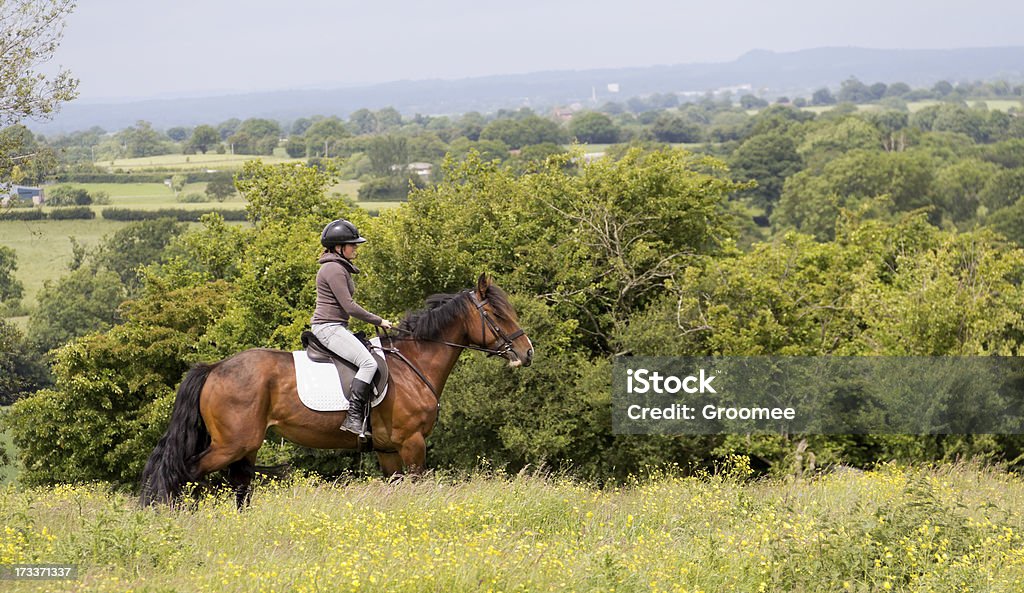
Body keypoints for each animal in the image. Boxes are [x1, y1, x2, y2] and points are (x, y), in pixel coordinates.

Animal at [141, 276, 536, 507]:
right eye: (498, 316)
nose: (527, 352)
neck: (414, 362)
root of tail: (214, 368)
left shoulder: (389, 450)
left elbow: (398, 490)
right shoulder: (412, 443)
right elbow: (416, 487)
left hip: (245, 446)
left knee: (240, 487)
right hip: (231, 444)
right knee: (186, 472)